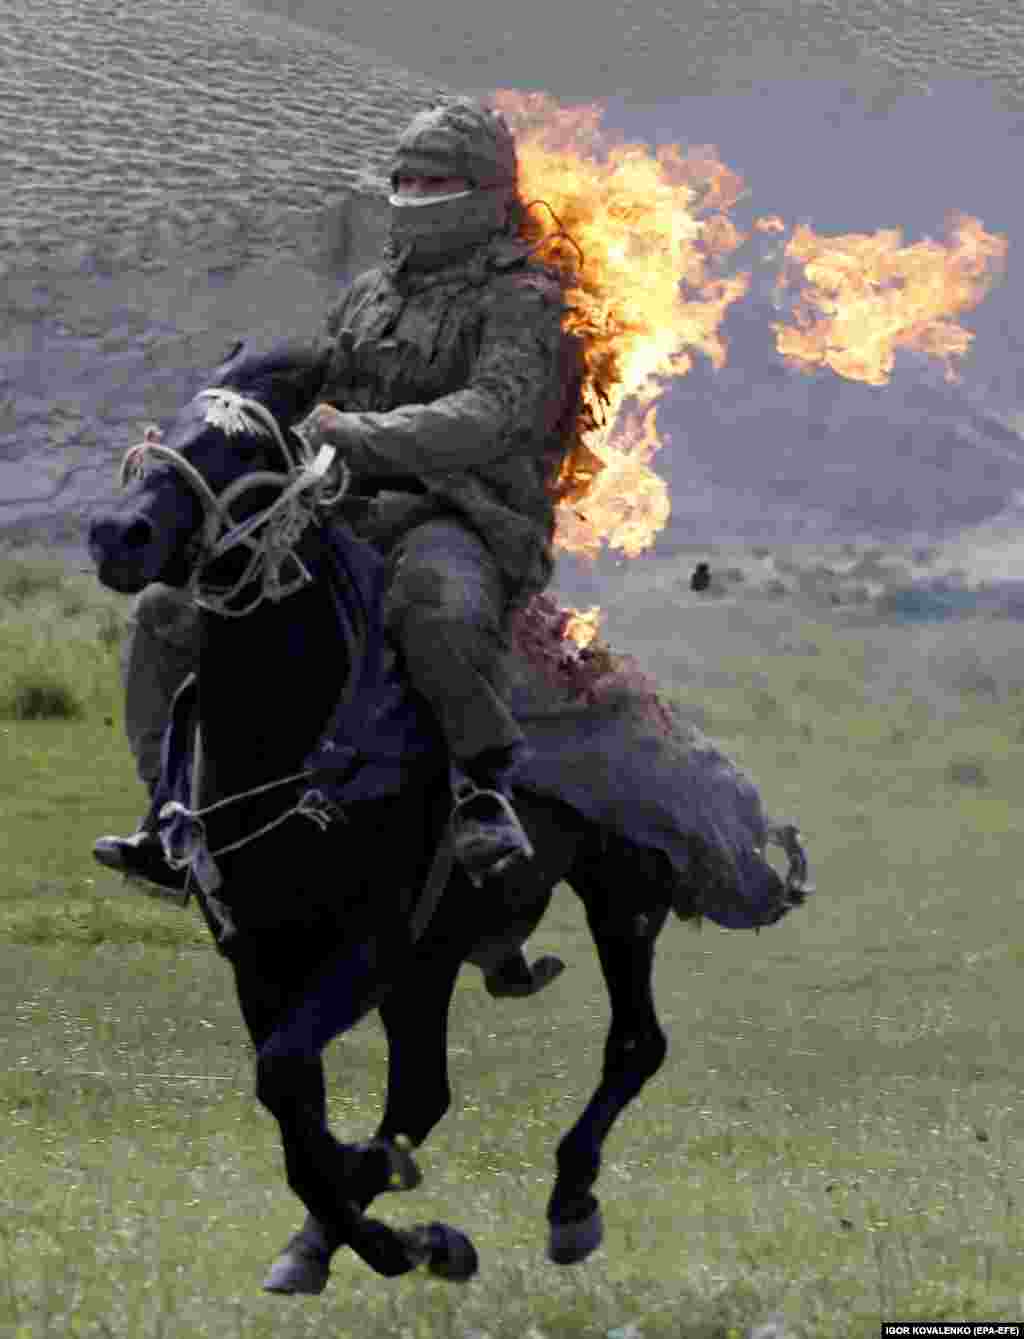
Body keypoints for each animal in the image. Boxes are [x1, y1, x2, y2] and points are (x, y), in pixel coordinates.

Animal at [87, 340, 808, 1290]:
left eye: (245, 444)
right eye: (170, 422)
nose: (117, 534)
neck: (296, 732)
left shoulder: (375, 944)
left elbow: (289, 1084)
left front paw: (399, 1231)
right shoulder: (259, 954)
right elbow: (293, 1106)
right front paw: (379, 1230)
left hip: (618, 901)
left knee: (633, 1044)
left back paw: (569, 1201)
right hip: (437, 964)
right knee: (424, 1090)